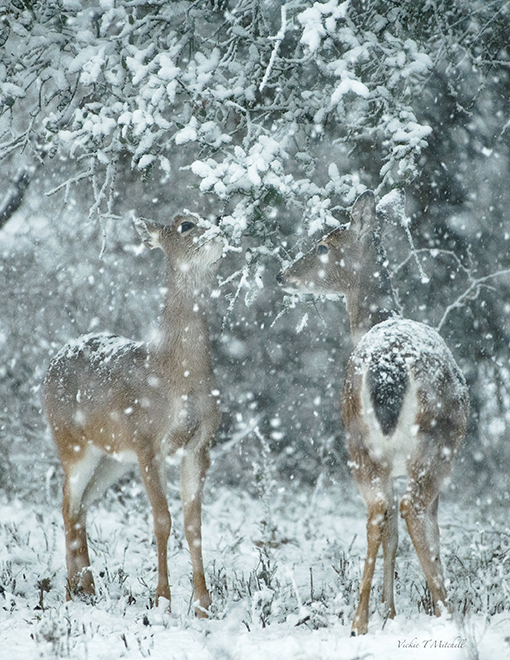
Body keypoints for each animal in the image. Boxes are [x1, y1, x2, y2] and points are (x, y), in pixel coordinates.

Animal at [44, 213, 225, 620]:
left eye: (212, 214)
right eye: (186, 224)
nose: (221, 228)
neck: (177, 375)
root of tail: (52, 361)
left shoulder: (199, 444)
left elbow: (194, 523)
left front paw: (203, 605)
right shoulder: (147, 441)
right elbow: (162, 520)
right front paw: (162, 601)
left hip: (112, 458)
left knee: (83, 505)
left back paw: (88, 588)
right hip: (72, 443)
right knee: (66, 503)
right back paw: (69, 593)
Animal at [278, 189, 470, 636]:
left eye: (323, 245)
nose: (282, 274)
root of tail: (389, 369)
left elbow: (394, 534)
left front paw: (390, 611)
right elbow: (419, 532)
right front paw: (401, 609)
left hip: (366, 440)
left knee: (382, 513)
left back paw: (363, 619)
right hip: (431, 442)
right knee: (408, 510)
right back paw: (438, 613)